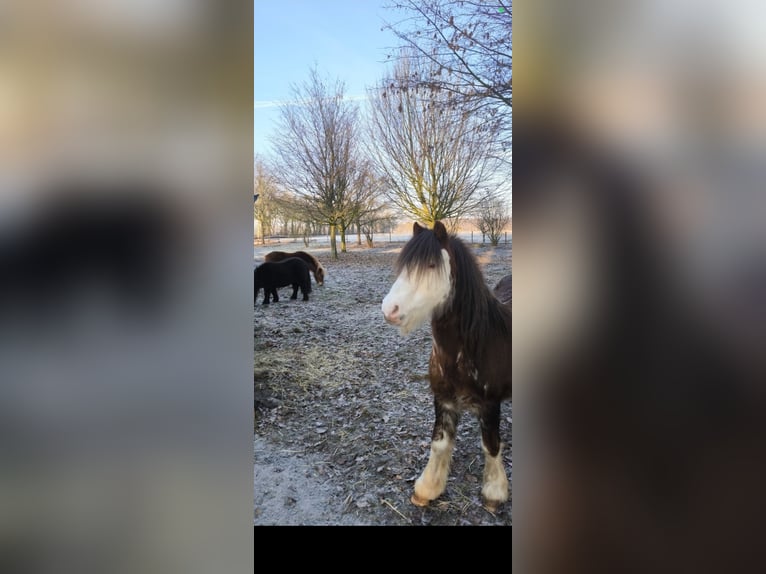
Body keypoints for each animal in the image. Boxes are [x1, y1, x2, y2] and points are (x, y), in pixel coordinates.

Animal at [381, 220, 512, 511]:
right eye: (404, 265)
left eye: (431, 265)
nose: (389, 310)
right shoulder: (443, 400)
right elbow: (439, 444)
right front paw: (426, 490)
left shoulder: (490, 405)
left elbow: (491, 445)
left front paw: (494, 494)